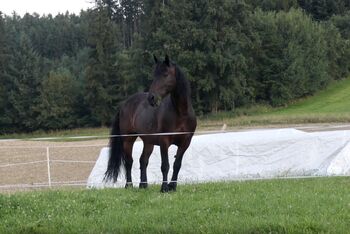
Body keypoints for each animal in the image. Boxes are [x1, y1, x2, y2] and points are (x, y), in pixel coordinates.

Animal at [104, 54, 197, 192]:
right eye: (154, 75)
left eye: (165, 74)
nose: (151, 98)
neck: (181, 114)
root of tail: (124, 104)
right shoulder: (164, 141)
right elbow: (165, 165)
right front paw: (164, 188)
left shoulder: (185, 142)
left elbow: (177, 164)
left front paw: (172, 186)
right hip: (128, 139)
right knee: (129, 162)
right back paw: (129, 185)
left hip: (148, 142)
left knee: (143, 160)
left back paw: (143, 185)